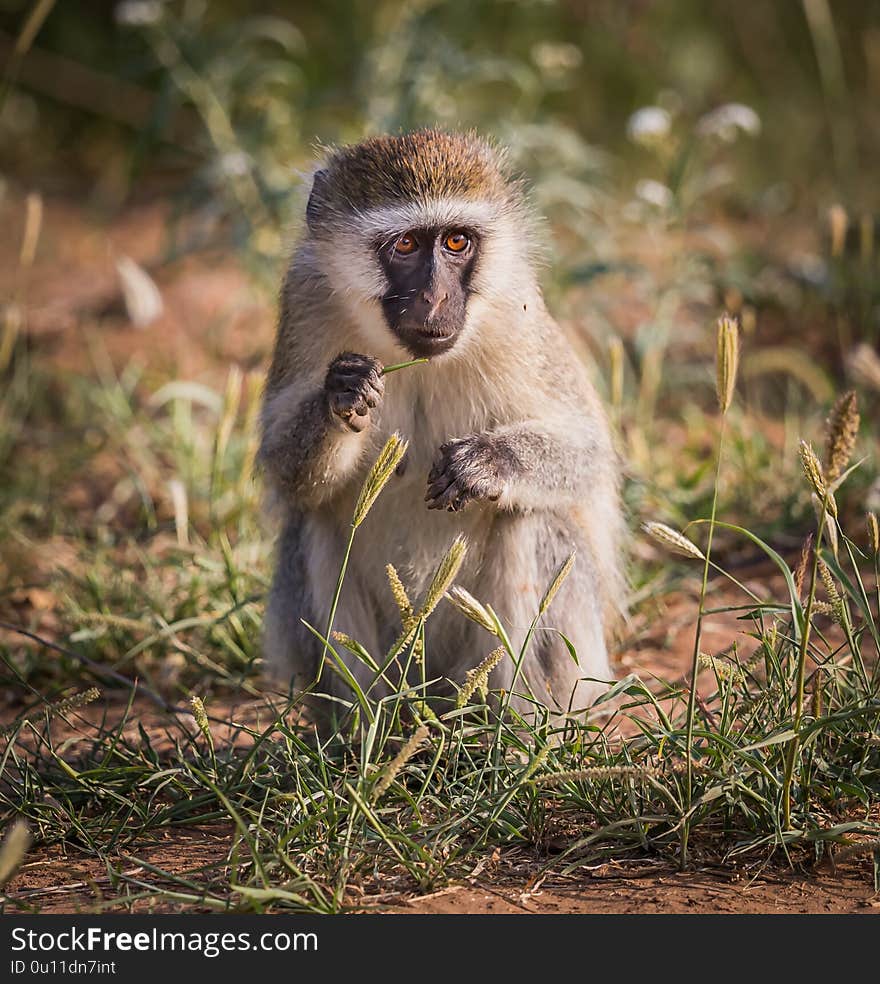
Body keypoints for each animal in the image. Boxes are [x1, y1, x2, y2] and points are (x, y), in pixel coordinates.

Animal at [256, 129, 624, 724]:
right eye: (405, 245)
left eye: (456, 242)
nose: (435, 298)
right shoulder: (305, 299)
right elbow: (284, 470)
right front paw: (343, 394)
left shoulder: (517, 314)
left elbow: (589, 452)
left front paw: (488, 463)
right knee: (316, 524)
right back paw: (364, 726)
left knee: (529, 520)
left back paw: (515, 726)